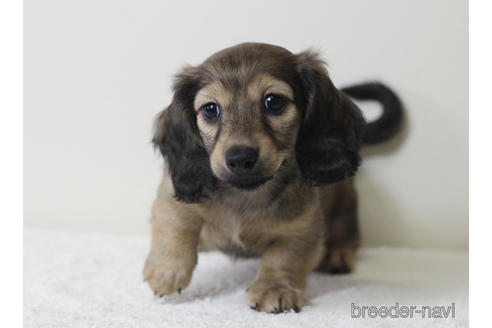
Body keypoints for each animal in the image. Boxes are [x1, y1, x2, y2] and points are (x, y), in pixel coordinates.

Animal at [143, 41, 404, 312]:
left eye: (274, 102)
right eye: (210, 109)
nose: (240, 157)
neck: (244, 195)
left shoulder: (301, 226)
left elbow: (284, 257)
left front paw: (275, 288)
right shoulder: (171, 195)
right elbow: (176, 225)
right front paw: (166, 271)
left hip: (345, 203)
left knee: (347, 231)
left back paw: (337, 253)